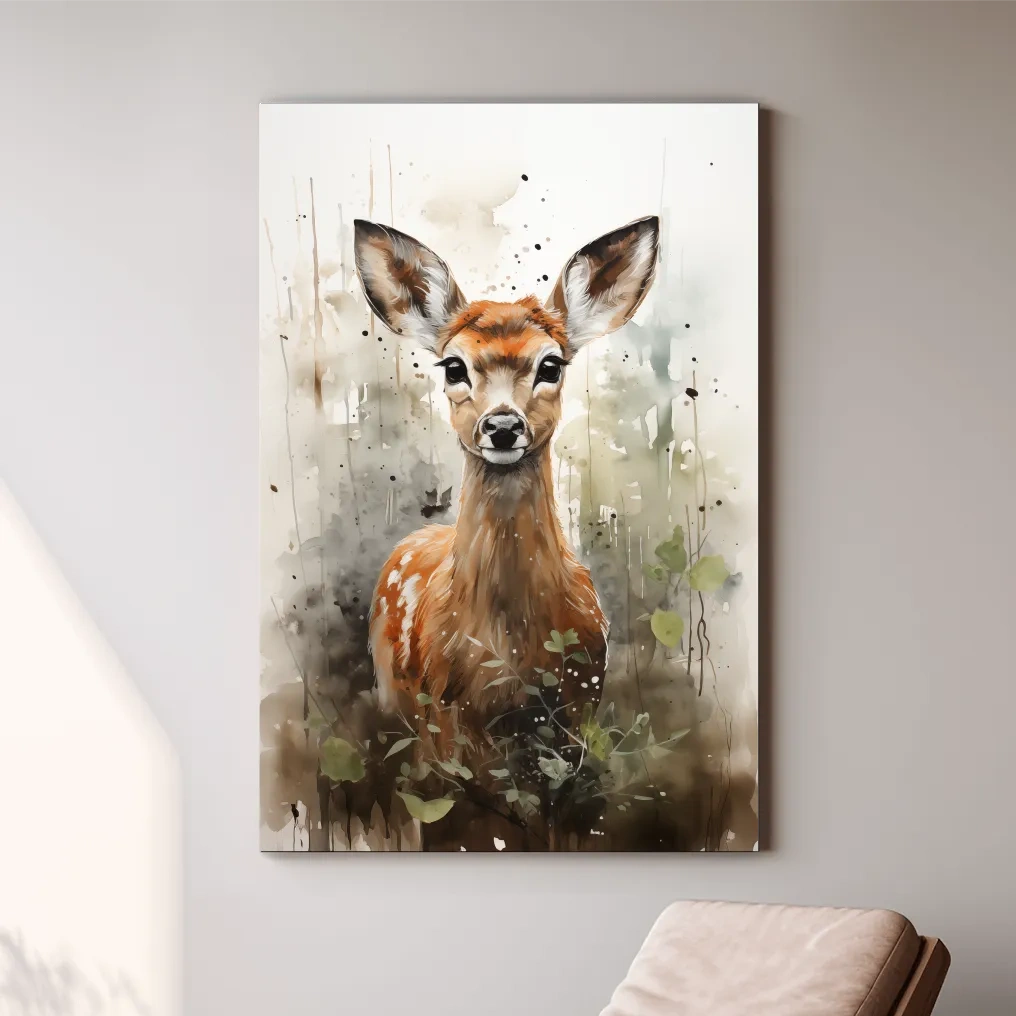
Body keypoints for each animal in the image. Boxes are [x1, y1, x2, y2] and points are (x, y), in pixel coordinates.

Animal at [353, 215, 660, 752]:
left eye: (551, 364)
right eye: (453, 366)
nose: (501, 426)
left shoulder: (581, 703)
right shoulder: (444, 716)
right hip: (395, 693)